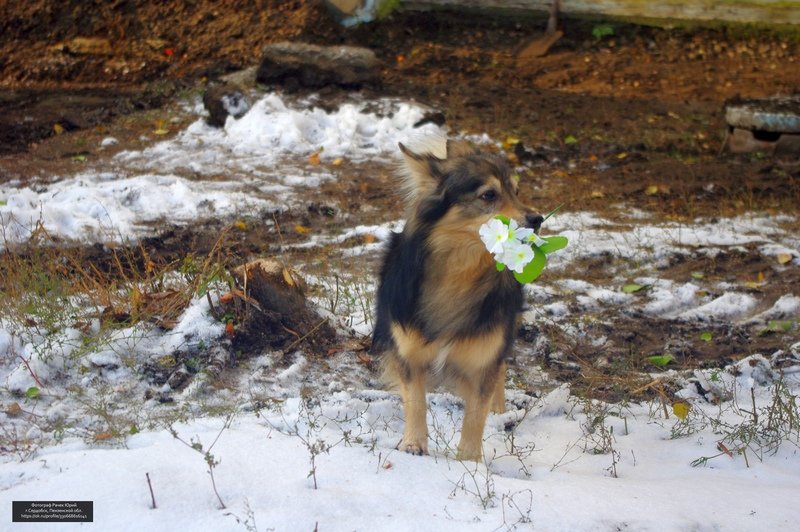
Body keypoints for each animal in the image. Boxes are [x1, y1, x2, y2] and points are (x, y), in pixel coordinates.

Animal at [372, 138, 540, 462]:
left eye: (516, 190)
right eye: (489, 195)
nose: (538, 219)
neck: (458, 274)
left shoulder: (485, 356)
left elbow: (476, 415)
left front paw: (469, 461)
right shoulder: (409, 353)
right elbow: (416, 401)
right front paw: (413, 445)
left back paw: (500, 412)